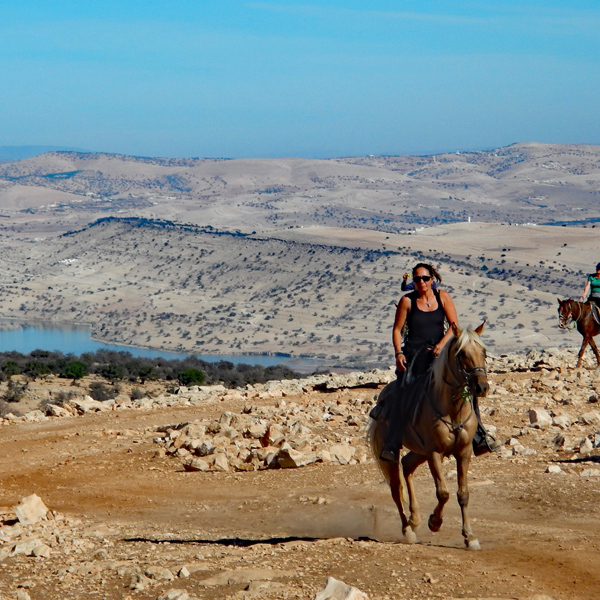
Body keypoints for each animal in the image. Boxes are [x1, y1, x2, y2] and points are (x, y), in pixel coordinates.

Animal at [368, 324, 490, 548]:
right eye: (462, 354)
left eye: (484, 352)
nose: (482, 387)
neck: (452, 409)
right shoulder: (434, 452)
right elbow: (443, 493)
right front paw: (434, 522)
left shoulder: (464, 452)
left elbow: (463, 494)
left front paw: (470, 536)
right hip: (394, 451)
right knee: (396, 489)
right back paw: (408, 530)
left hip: (419, 450)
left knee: (407, 465)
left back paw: (414, 519)